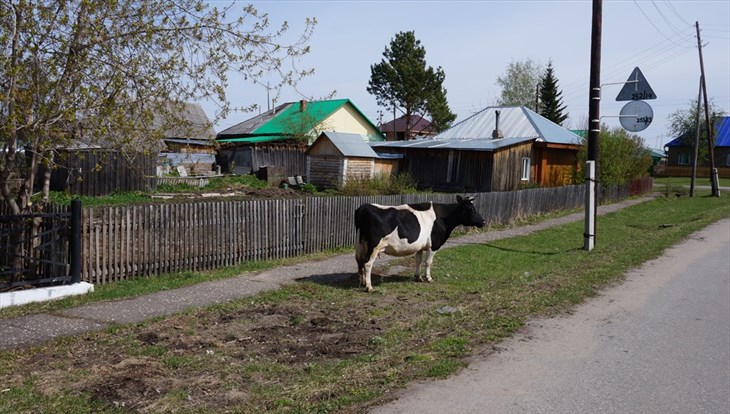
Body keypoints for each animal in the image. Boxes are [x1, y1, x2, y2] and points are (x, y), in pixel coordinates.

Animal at [352, 196, 484, 292]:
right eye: (472, 209)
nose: (483, 221)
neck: (443, 218)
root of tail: (364, 207)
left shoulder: (420, 246)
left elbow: (418, 260)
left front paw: (418, 277)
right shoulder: (433, 245)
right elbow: (428, 262)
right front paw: (428, 278)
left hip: (360, 244)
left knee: (359, 261)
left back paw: (362, 282)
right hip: (374, 246)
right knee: (368, 263)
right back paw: (369, 287)